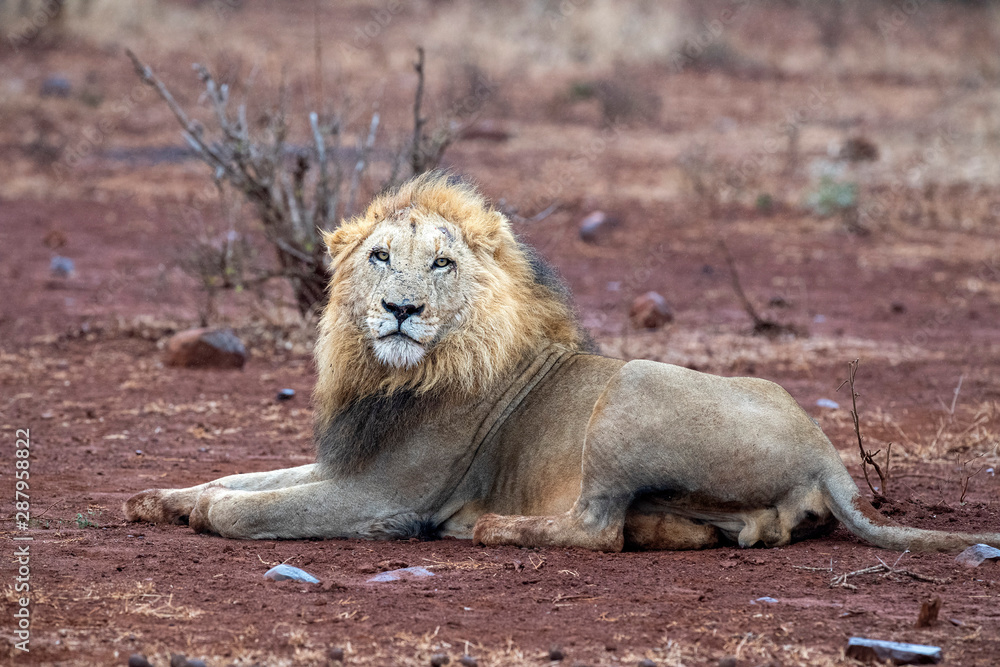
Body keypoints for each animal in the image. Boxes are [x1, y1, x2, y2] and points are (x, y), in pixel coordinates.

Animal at [125, 174, 1000, 552]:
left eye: (440, 263)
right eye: (378, 256)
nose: (400, 309)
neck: (392, 376)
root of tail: (828, 454)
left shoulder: (384, 492)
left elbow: (247, 509)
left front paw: (202, 512)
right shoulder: (345, 459)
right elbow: (240, 476)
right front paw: (157, 497)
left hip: (635, 386)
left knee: (596, 529)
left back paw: (489, 527)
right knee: (739, 529)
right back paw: (680, 529)